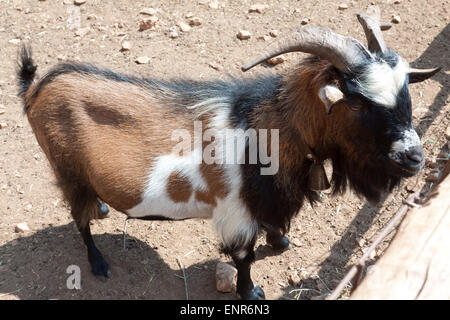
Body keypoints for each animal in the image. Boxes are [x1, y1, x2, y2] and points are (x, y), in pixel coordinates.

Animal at [17, 10, 440, 300]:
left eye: (406, 91)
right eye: (356, 102)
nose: (414, 157)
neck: (264, 130)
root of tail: (36, 88)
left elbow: (272, 230)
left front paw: (281, 241)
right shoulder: (235, 212)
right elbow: (243, 258)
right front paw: (251, 291)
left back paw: (104, 208)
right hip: (67, 170)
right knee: (79, 221)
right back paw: (98, 262)